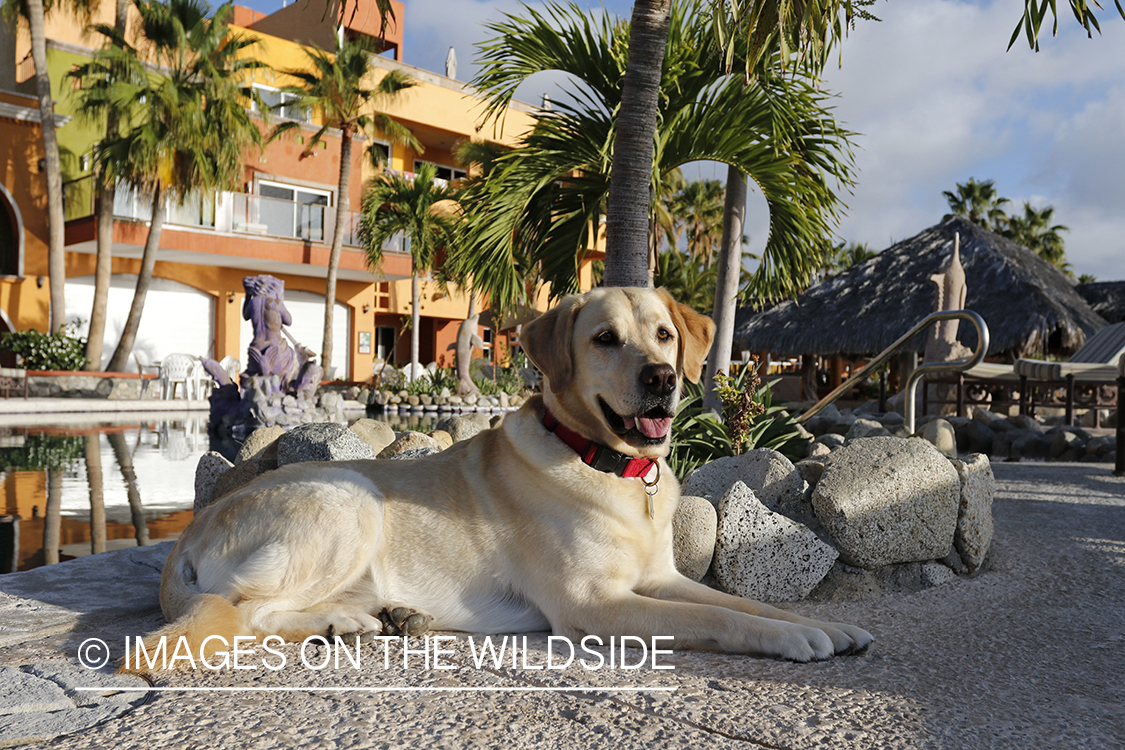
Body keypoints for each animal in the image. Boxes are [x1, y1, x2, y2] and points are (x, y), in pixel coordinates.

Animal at [147, 287, 868, 661]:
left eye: (664, 334)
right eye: (605, 339)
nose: (662, 378)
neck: (609, 466)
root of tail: (188, 535)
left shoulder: (660, 578)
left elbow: (743, 602)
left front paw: (830, 626)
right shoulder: (593, 606)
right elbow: (724, 618)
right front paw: (796, 635)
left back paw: (379, 617)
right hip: (350, 499)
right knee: (245, 614)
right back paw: (344, 624)